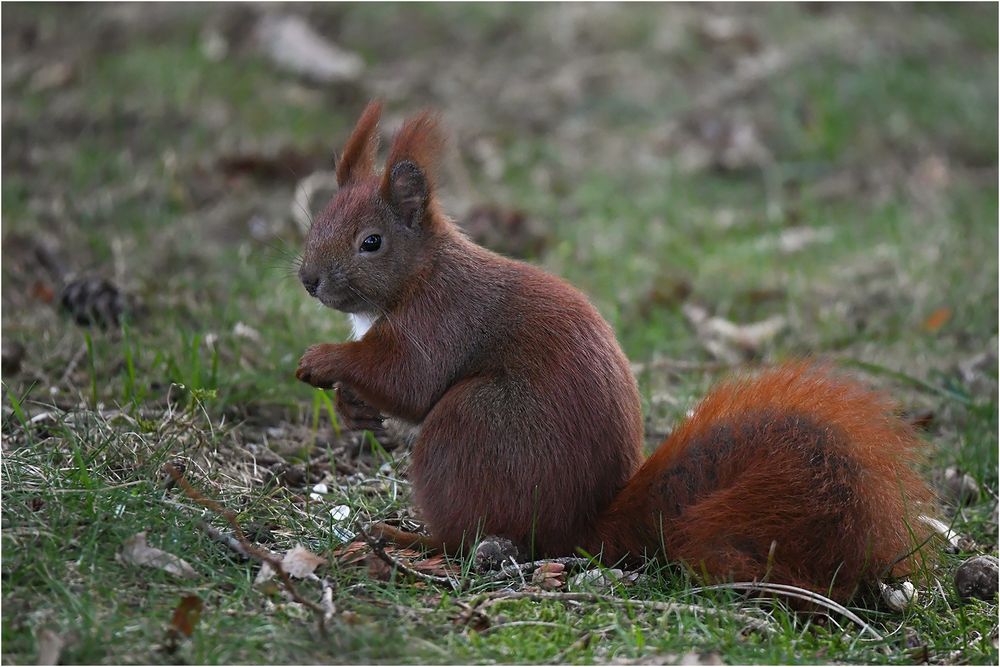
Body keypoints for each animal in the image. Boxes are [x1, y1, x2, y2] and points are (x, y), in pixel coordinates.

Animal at [292, 100, 932, 604]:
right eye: (316, 221)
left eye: (371, 242)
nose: (308, 280)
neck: (421, 273)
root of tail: (580, 529)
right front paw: (351, 407)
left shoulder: (440, 321)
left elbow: (409, 381)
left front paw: (322, 359)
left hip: (471, 427)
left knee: (466, 533)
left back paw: (409, 538)